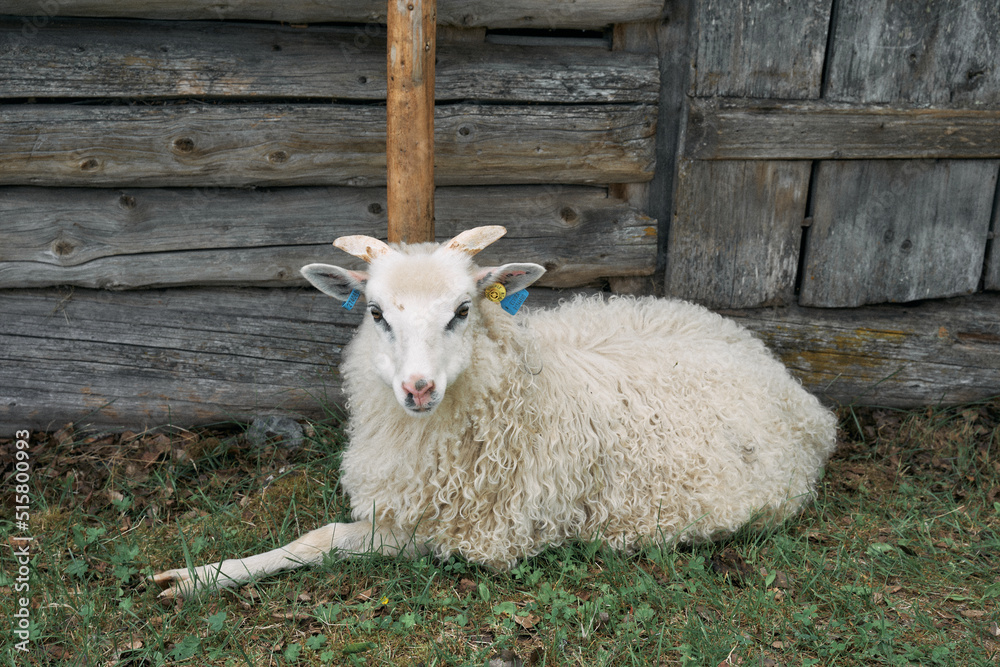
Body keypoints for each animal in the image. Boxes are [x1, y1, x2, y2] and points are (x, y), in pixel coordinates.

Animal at [152, 227, 840, 596]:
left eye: (463, 310)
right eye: (376, 313)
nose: (418, 389)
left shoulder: (462, 530)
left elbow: (324, 539)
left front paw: (204, 576)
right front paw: (203, 572)